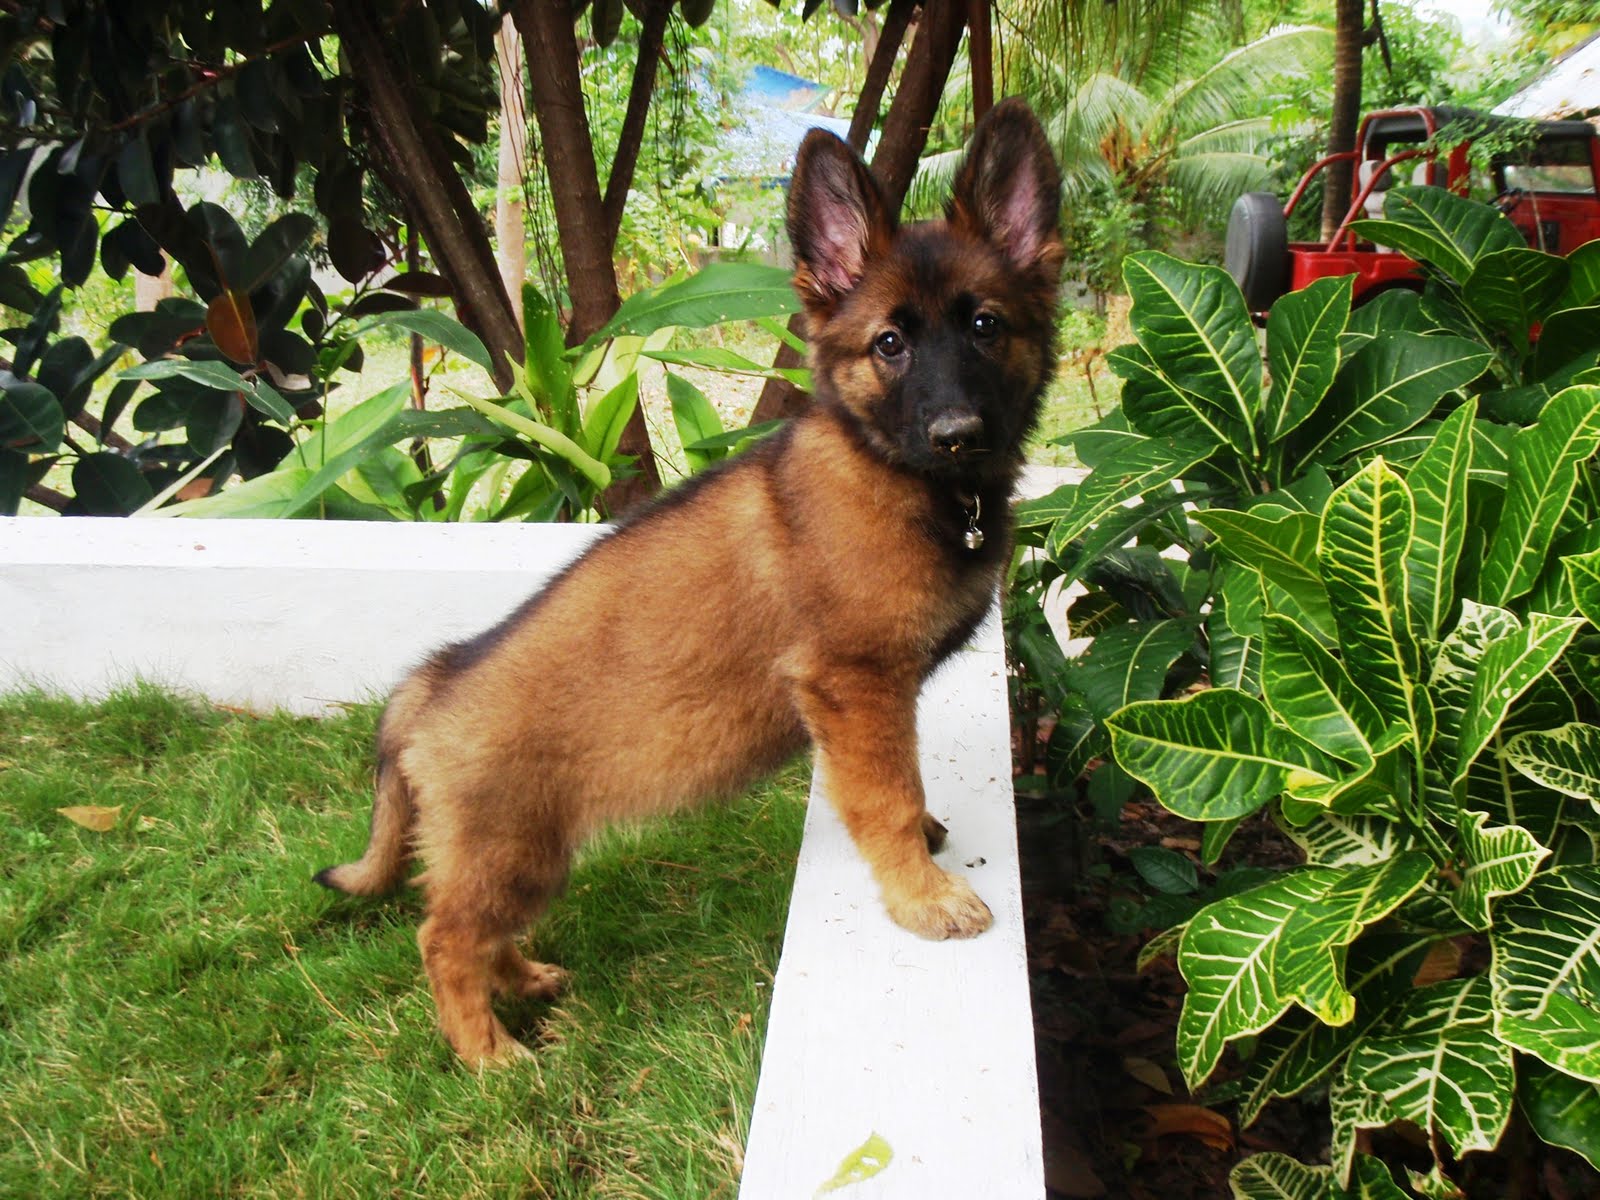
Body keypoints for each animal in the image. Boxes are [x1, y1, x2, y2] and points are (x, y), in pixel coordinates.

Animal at [315, 98, 1062, 1068]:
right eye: (890, 344)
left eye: (986, 327)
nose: (957, 433)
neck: (906, 478)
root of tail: (432, 686)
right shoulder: (855, 683)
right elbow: (887, 795)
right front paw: (920, 892)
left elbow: (894, 786)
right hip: (512, 849)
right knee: (443, 938)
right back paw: (489, 1057)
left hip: (523, 856)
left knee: (476, 930)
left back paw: (525, 983)